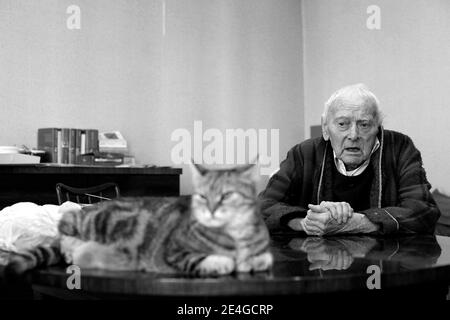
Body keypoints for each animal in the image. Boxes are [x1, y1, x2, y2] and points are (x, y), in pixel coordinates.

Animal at [5, 164, 272, 276]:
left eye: (226, 195)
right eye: (202, 196)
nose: (211, 210)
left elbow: (263, 258)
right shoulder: (174, 252)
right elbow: (208, 261)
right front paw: (224, 262)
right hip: (91, 221)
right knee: (64, 227)